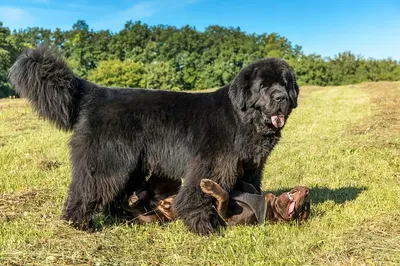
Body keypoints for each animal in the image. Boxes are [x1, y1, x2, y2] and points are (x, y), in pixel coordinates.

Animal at [122, 179, 310, 227]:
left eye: (304, 209)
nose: (307, 191)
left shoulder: (227, 217)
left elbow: (224, 197)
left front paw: (210, 186)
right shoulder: (251, 189)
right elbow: (244, 185)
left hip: (153, 220)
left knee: (136, 212)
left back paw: (132, 200)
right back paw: (138, 195)